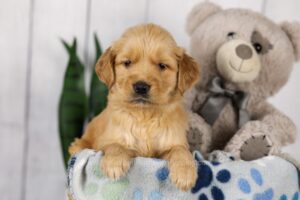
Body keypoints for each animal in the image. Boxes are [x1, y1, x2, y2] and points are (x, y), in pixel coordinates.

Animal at [69, 23, 200, 191]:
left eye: (162, 66)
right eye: (127, 63)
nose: (141, 87)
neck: (144, 115)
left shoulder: (170, 144)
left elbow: (181, 150)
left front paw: (185, 173)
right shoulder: (105, 141)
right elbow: (114, 145)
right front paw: (115, 163)